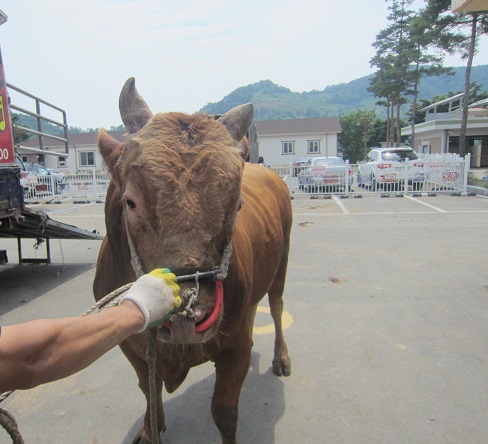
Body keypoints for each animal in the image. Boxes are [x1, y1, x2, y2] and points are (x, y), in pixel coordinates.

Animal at [93, 78, 292, 442]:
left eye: (237, 205)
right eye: (130, 202)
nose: (190, 312)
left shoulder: (236, 349)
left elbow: (225, 414)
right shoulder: (130, 347)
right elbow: (149, 393)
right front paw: (150, 427)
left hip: (282, 260)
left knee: (276, 305)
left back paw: (281, 356)